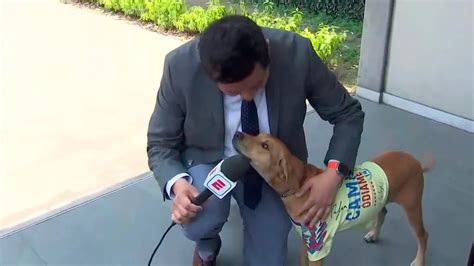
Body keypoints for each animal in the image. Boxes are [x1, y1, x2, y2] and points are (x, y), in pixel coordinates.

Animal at [231, 132, 436, 264]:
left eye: (265, 146)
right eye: (258, 134)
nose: (237, 133)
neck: (300, 183)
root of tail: (416, 162)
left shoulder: (319, 249)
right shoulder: (306, 243)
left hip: (412, 207)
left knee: (424, 235)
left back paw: (419, 261)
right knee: (383, 212)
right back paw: (374, 234)